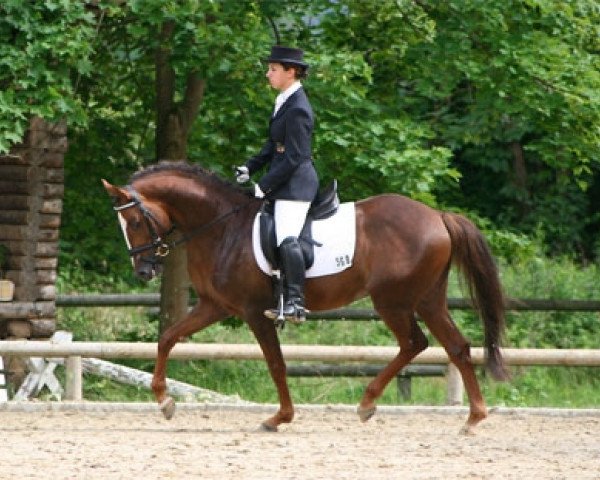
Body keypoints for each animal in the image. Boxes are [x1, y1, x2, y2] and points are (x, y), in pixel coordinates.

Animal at [102, 162, 506, 436]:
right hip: (426, 299)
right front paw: (164, 401)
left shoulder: (254, 312)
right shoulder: (214, 305)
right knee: (454, 346)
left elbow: (276, 364)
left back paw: (370, 404)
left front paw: (279, 417)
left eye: (135, 222)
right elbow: (168, 337)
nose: (144, 271)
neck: (220, 226)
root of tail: (438, 216)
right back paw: (471, 417)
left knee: (415, 342)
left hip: (392, 301)